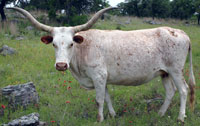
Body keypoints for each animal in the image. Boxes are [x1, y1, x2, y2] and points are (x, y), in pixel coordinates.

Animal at [7, 6, 195, 122]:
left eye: (71, 44)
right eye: (53, 44)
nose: (61, 65)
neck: (83, 49)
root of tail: (181, 32)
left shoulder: (98, 75)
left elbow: (98, 99)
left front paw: (100, 119)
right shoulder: (101, 78)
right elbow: (107, 96)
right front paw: (112, 115)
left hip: (176, 70)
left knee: (183, 90)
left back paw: (180, 117)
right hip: (165, 72)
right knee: (170, 92)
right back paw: (161, 114)